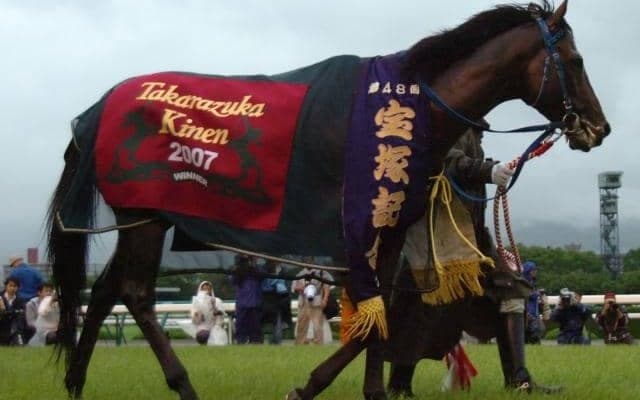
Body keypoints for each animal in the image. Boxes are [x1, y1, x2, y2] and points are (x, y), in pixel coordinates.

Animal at [46, 1, 609, 399]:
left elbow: (382, 311)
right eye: (576, 60)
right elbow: (373, 312)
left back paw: (75, 382)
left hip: (143, 221)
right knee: (134, 292)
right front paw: (310, 387)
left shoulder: (392, 223)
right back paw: (182, 385)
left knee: (105, 289)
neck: (413, 106)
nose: (599, 128)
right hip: (143, 217)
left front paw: (372, 390)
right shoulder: (363, 224)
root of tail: (94, 110)